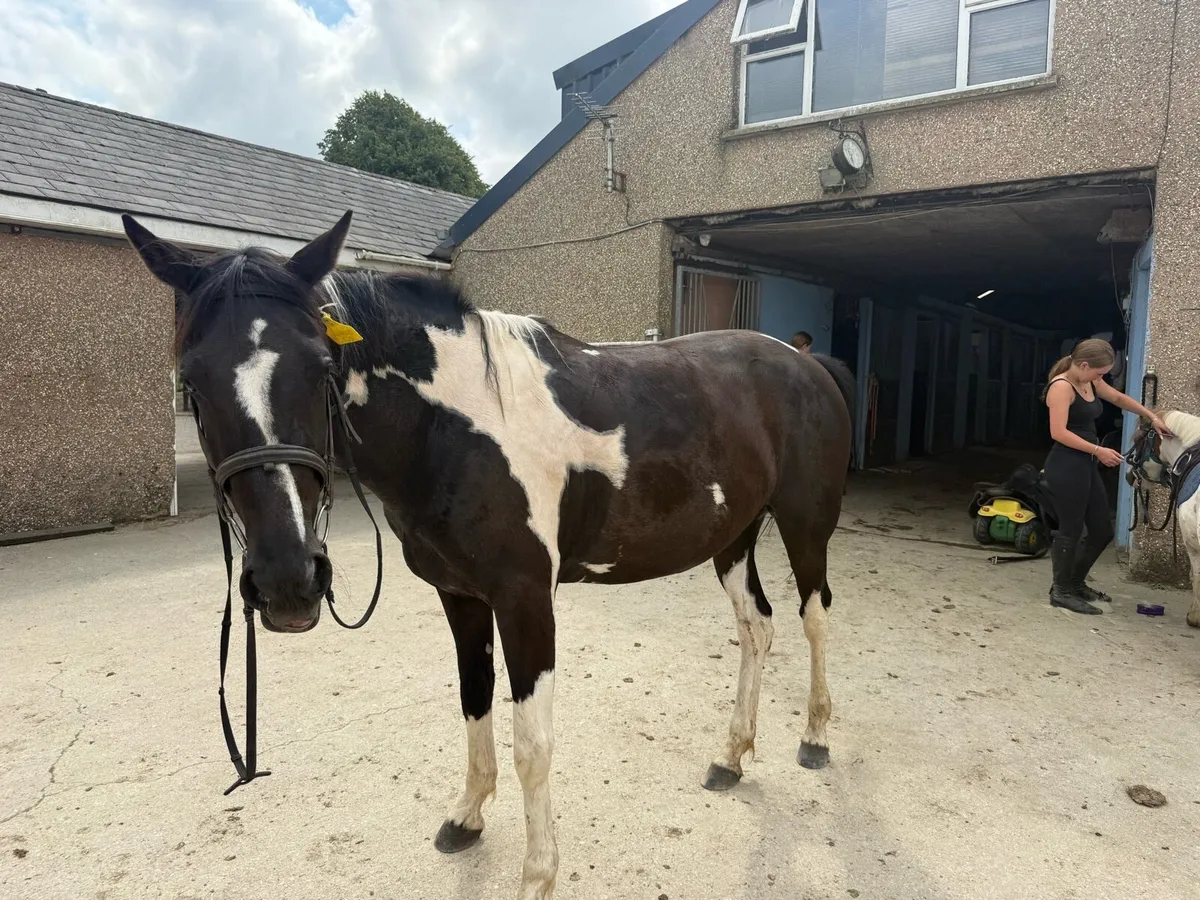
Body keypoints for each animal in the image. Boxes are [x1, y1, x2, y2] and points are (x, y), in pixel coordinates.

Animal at [122, 211, 854, 900]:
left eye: (320, 368)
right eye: (191, 380)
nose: (287, 583)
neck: (455, 429)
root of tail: (807, 363)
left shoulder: (525, 600)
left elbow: (533, 742)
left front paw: (537, 876)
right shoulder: (460, 595)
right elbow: (474, 699)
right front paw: (466, 817)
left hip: (805, 525)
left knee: (815, 617)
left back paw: (816, 739)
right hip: (733, 539)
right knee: (757, 628)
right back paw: (732, 755)